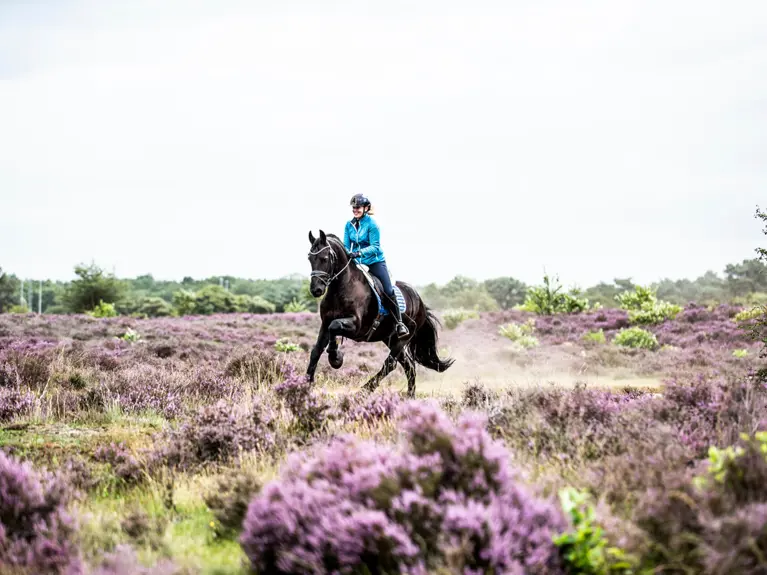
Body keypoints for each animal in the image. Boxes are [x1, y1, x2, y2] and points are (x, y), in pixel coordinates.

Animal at [305, 229, 454, 397]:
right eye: (310, 258)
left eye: (324, 258)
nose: (316, 290)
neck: (342, 288)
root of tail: (420, 302)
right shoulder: (325, 324)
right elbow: (316, 350)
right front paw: (306, 384)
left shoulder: (356, 326)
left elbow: (334, 326)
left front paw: (336, 358)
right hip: (389, 338)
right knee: (409, 366)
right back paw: (410, 396)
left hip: (403, 337)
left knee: (390, 364)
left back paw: (365, 389)